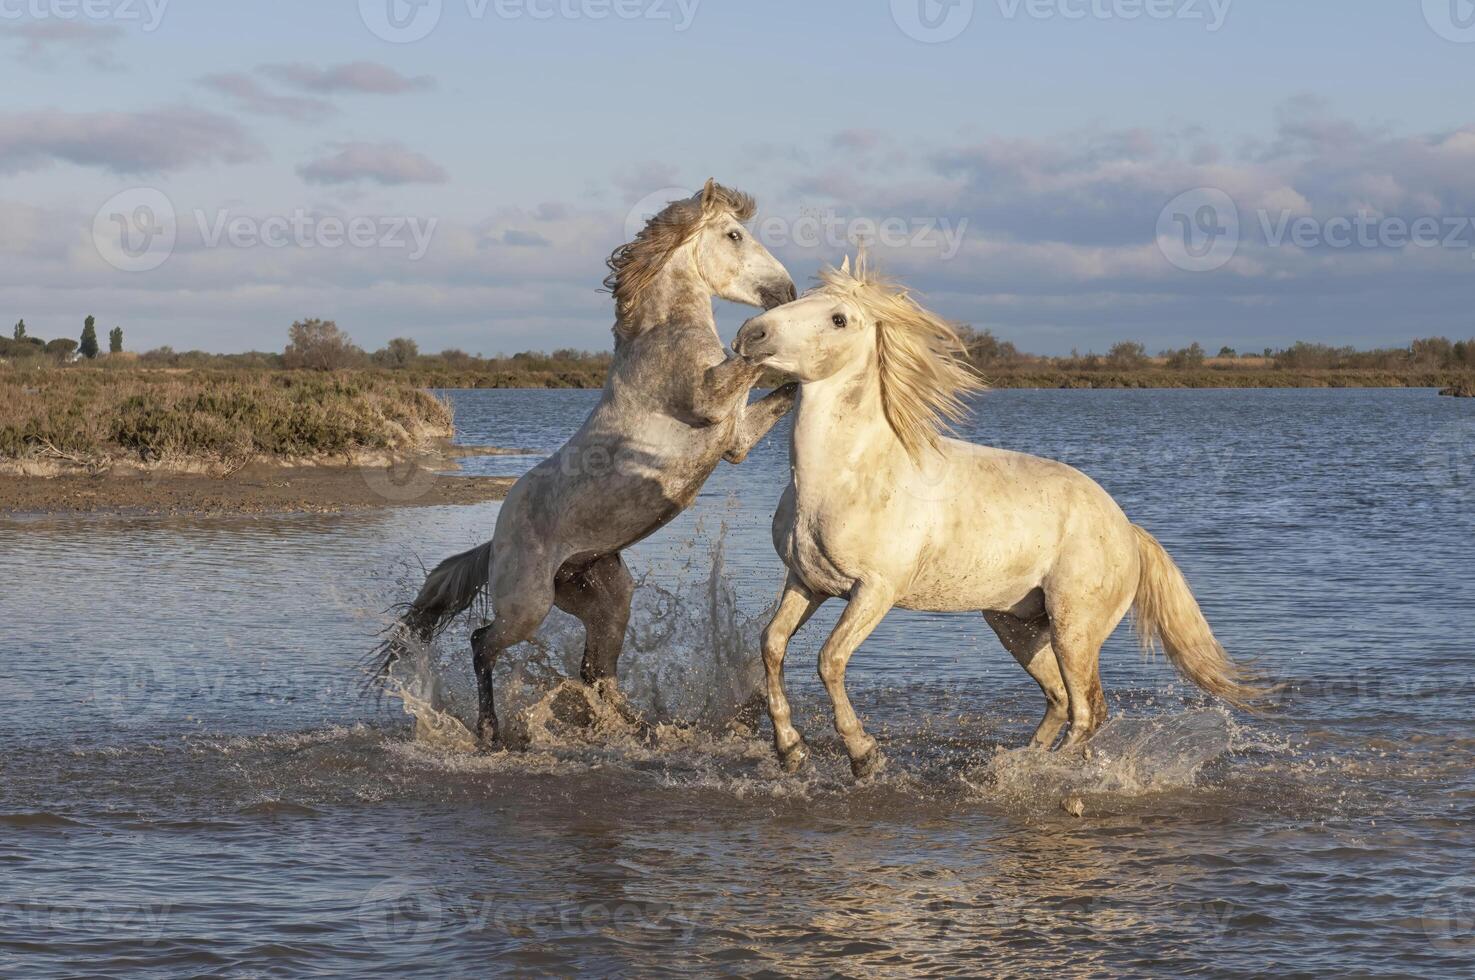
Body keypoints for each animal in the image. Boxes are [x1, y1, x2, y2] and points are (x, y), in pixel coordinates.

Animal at [380, 180, 796, 743]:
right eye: (734, 234)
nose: (787, 292)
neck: (663, 333)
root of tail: (495, 542)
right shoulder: (712, 404)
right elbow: (750, 358)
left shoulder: (736, 439)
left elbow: (784, 392)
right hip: (527, 605)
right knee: (482, 643)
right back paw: (492, 731)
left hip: (604, 597)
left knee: (595, 671)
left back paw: (645, 727)